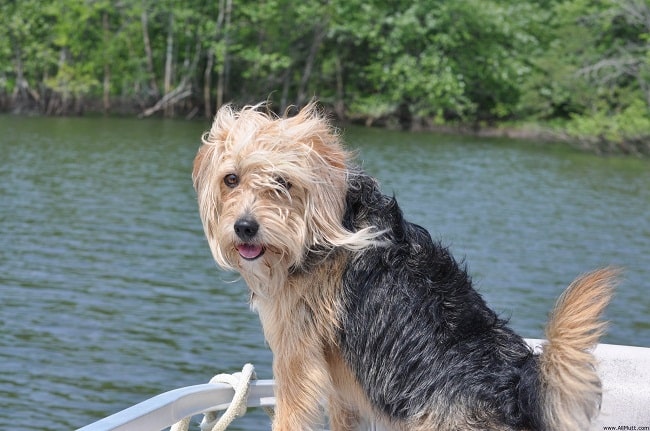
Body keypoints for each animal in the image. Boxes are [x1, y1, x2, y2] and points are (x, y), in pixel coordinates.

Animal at [190, 103, 616, 430]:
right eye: (231, 179)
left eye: (283, 181)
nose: (245, 227)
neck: (322, 229)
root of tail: (515, 392)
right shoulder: (341, 381)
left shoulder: (296, 353)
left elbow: (291, 415)